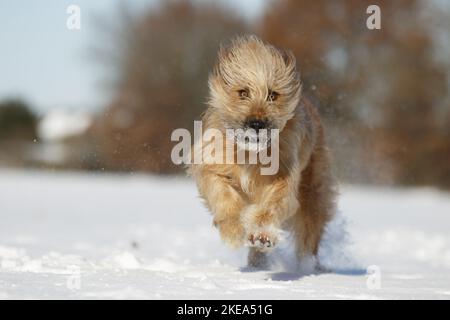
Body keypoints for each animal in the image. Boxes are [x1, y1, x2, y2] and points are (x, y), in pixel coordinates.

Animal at [188, 35, 336, 268]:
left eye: (273, 95)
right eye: (243, 92)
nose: (257, 124)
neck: (251, 153)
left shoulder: (283, 176)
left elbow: (273, 205)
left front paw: (263, 234)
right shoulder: (212, 165)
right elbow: (223, 195)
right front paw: (233, 230)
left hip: (314, 192)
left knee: (309, 232)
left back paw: (306, 265)